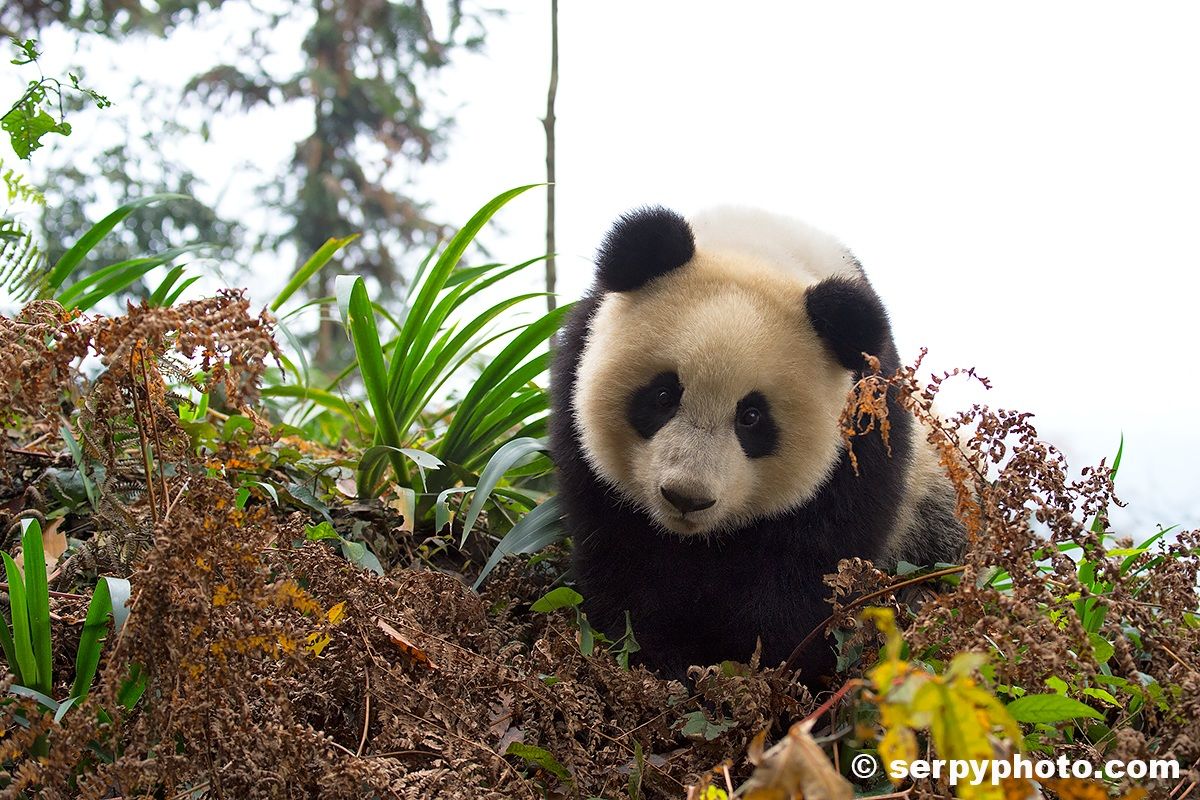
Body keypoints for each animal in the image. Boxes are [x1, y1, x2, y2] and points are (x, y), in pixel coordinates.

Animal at [548, 205, 965, 683]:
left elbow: (809, 565)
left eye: (751, 418)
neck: (757, 246)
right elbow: (623, 548)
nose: (686, 498)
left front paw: (757, 665)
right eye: (663, 395)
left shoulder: (866, 425)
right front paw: (658, 652)